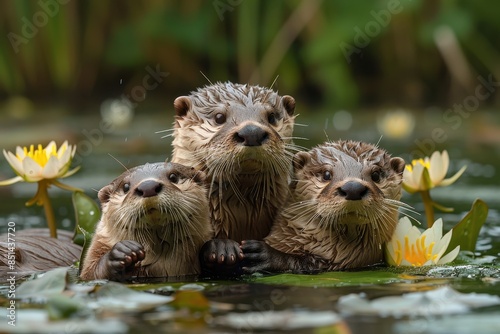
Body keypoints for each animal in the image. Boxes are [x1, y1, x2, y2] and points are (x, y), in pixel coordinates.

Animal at [79, 161, 211, 280]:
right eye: (126, 186)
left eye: (173, 177)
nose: (148, 187)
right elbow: (91, 273)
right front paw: (123, 252)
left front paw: (214, 250)